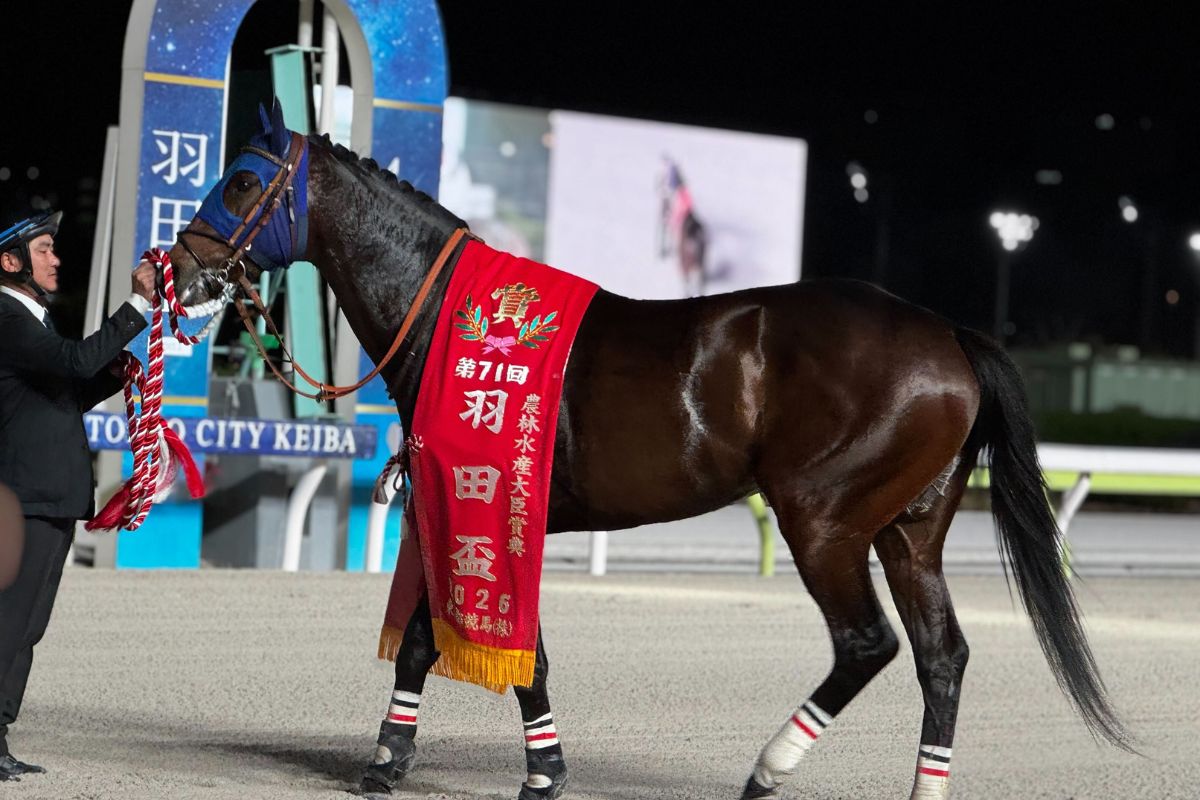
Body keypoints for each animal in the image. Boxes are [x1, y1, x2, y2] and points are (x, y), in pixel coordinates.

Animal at [168, 104, 1129, 800]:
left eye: (243, 180)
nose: (175, 265)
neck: (451, 318)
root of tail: (950, 334)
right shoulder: (498, 510)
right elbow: (446, 643)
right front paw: (442, 761)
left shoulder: (493, 501)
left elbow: (471, 643)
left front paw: (449, 767)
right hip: (912, 530)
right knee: (942, 657)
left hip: (824, 521)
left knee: (868, 644)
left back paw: (767, 770)